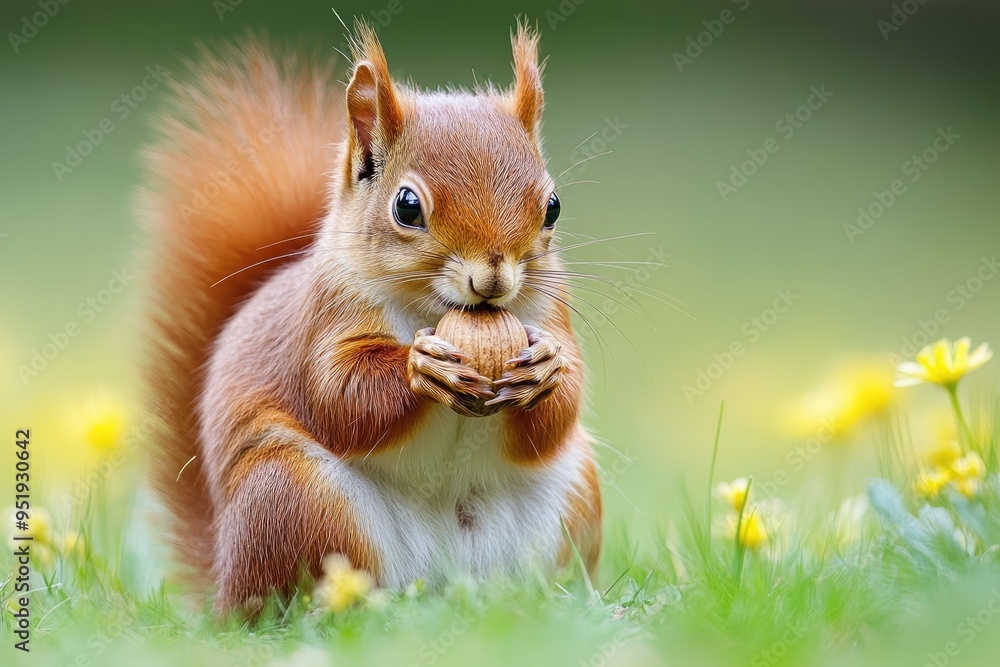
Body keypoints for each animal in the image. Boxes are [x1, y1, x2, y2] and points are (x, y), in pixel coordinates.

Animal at [140, 23, 602, 614]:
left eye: (553, 207)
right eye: (407, 206)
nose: (493, 280)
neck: (436, 311)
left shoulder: (552, 307)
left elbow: (559, 412)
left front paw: (546, 369)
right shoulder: (326, 314)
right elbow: (338, 395)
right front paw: (422, 368)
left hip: (575, 496)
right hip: (291, 499)